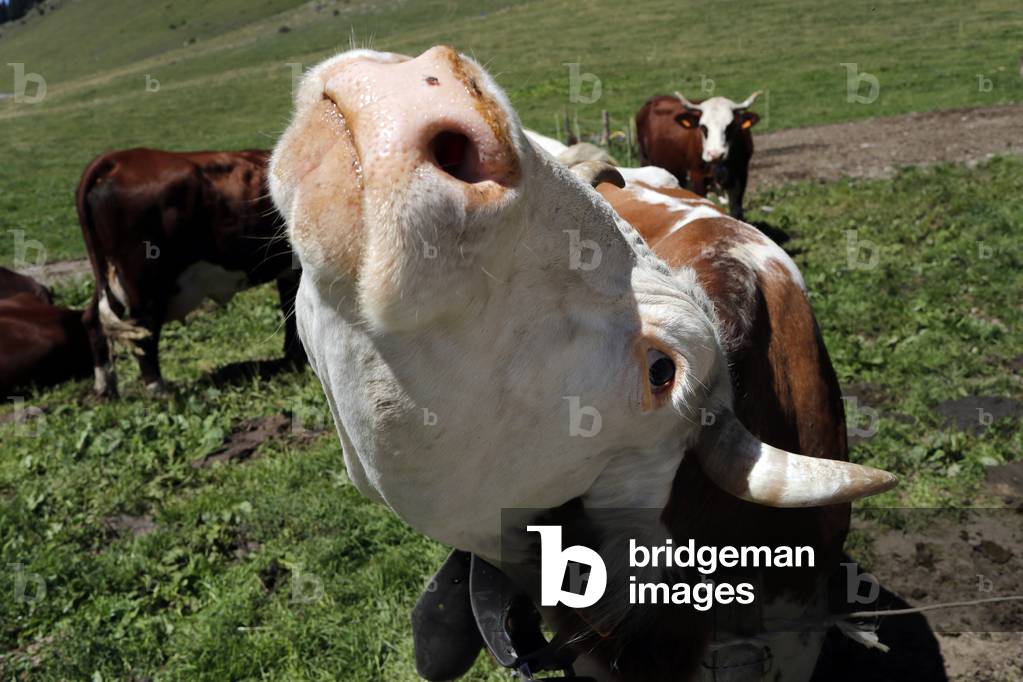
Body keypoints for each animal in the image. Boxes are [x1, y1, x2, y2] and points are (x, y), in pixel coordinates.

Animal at [76, 148, 304, 397]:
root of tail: (118, 159)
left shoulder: (289, 272)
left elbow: (291, 311)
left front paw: (294, 357)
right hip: (145, 280)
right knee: (144, 330)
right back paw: (158, 390)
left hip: (109, 275)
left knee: (94, 321)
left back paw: (104, 387)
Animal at [636, 91, 762, 221]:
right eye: (703, 127)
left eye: (730, 126)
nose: (715, 154)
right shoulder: (698, 176)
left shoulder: (741, 175)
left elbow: (737, 211)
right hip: (645, 160)